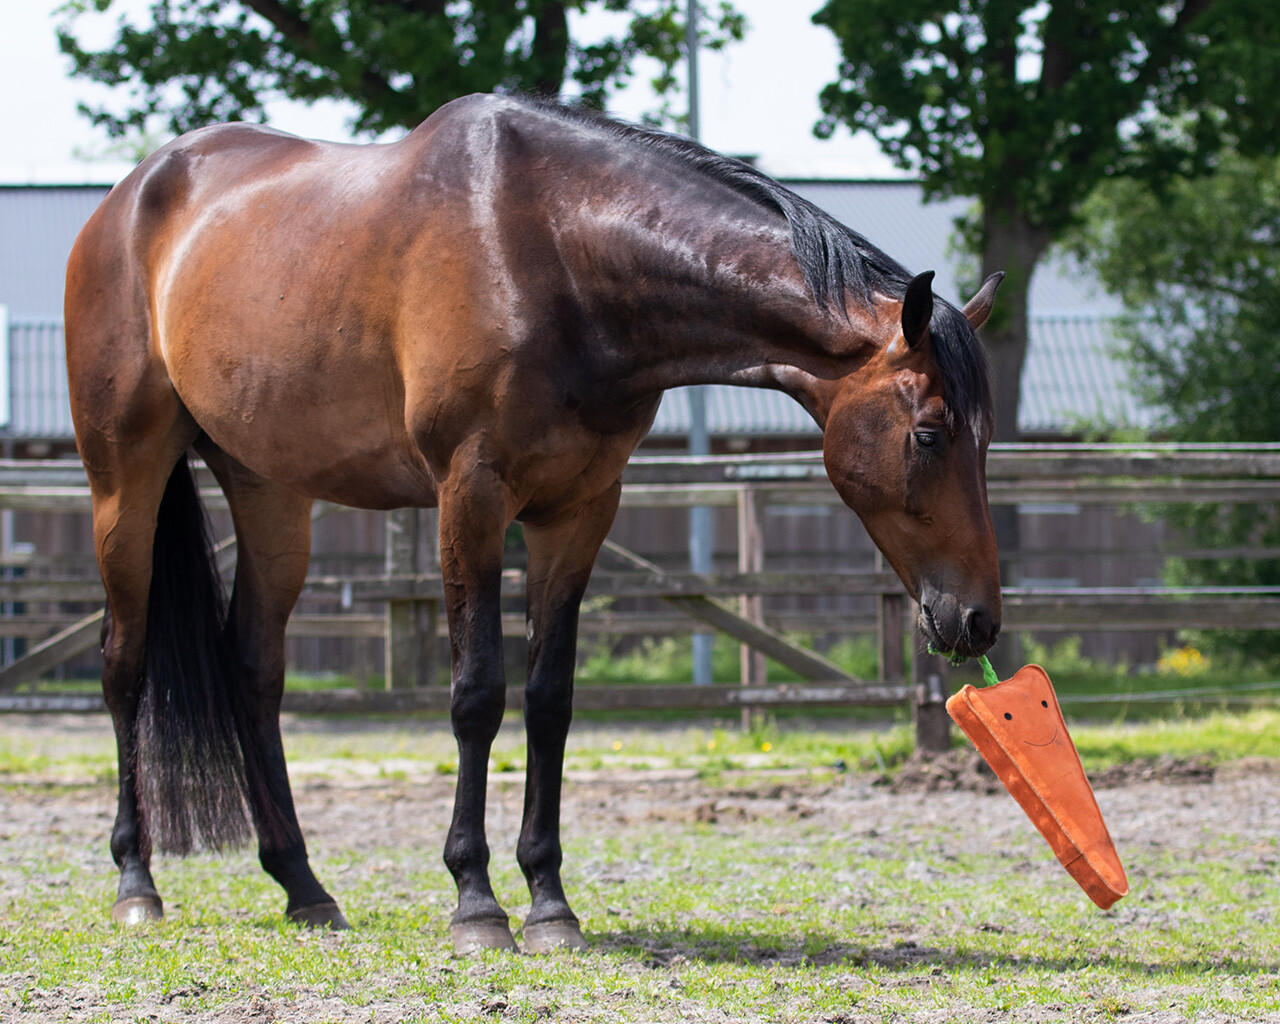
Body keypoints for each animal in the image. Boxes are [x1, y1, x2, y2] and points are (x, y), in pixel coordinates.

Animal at [64, 92, 1003, 957]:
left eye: (985, 437)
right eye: (929, 434)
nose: (978, 619)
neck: (554, 255)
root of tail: (129, 199)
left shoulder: (578, 510)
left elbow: (550, 700)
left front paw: (550, 902)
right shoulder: (470, 499)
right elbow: (478, 694)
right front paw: (476, 901)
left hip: (269, 492)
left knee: (254, 670)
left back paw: (303, 887)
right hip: (125, 482)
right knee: (123, 665)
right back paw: (136, 883)